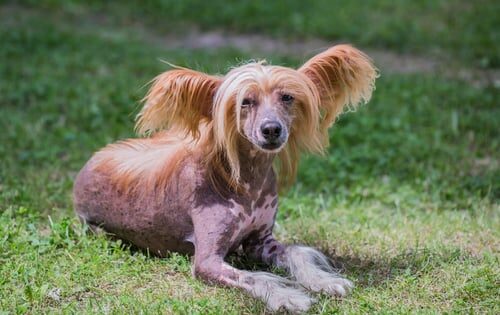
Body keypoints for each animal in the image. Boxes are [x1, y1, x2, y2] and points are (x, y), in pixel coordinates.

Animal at [73, 45, 376, 314]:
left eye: (287, 98)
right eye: (245, 102)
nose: (271, 129)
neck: (248, 183)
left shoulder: (260, 241)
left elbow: (296, 253)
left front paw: (325, 281)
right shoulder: (207, 261)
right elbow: (253, 277)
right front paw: (288, 297)